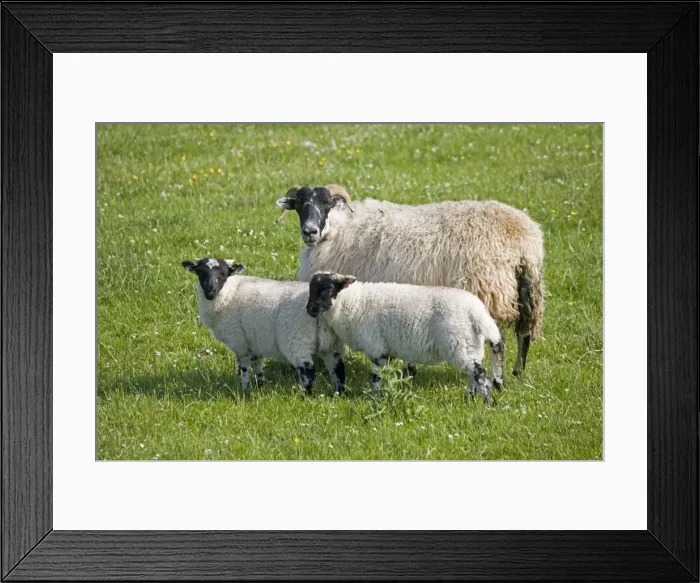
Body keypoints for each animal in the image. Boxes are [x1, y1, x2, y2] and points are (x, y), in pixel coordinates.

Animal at [181, 257, 345, 395]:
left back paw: (305, 396)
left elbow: (244, 369)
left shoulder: (240, 342)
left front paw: (245, 390)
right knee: (338, 369)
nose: (210, 290)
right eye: (200, 273)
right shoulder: (255, 341)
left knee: (308, 371)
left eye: (223, 274)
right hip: (331, 343)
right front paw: (260, 387)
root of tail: (322, 309)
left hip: (297, 341)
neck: (230, 294)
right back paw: (339, 394)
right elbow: (258, 367)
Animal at [276, 184, 544, 381]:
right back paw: (518, 373)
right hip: (529, 290)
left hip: (488, 290)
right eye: (299, 206)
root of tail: (524, 238)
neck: (339, 230)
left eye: (326, 204)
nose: (309, 232)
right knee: (524, 334)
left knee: (499, 339)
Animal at [305, 271, 505, 405]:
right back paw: (469, 397)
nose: (310, 310)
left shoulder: (376, 347)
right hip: (471, 345)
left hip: (458, 343)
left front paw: (376, 398)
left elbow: (376, 377)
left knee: (480, 373)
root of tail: (476, 310)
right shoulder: (387, 350)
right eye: (310, 288)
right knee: (474, 372)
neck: (352, 303)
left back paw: (487, 403)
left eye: (327, 289)